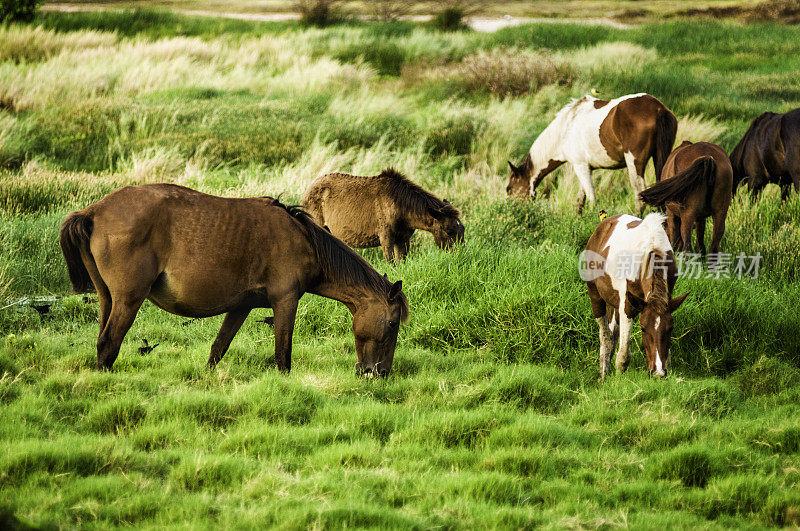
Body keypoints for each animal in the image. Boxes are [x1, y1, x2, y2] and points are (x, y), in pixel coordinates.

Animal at [59, 185, 410, 376]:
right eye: (393, 323)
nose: (380, 373)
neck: (305, 241)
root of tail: (94, 211)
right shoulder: (285, 301)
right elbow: (283, 356)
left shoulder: (240, 308)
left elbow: (218, 349)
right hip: (129, 300)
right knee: (109, 344)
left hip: (108, 299)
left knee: (103, 342)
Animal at [300, 168, 462, 262]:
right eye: (449, 231)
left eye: (463, 230)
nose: (458, 255)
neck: (403, 211)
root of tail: (307, 190)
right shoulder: (386, 237)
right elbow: (391, 263)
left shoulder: (403, 239)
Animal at [506, 93, 676, 214]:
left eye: (509, 189)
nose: (511, 211)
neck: (566, 128)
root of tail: (658, 109)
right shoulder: (586, 168)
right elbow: (580, 200)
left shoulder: (580, 166)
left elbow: (591, 199)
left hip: (635, 163)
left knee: (639, 197)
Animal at [584, 214, 692, 380]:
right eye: (643, 328)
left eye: (671, 328)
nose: (658, 373)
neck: (652, 250)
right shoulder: (627, 306)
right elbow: (623, 356)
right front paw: (618, 380)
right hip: (595, 294)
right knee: (606, 336)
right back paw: (603, 375)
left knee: (612, 333)